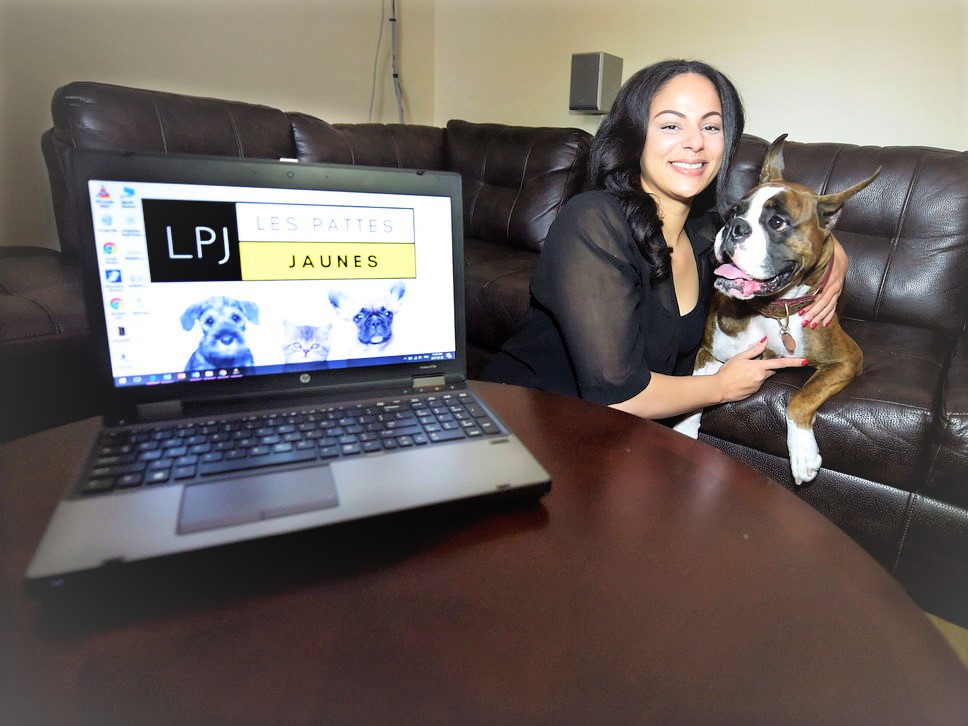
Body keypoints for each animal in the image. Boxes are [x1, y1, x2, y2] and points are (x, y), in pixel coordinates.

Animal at [676, 135, 880, 490]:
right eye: (733, 212)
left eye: (777, 222)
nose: (734, 227)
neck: (774, 310)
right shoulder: (708, 352)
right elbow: (698, 387)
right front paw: (685, 430)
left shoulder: (847, 360)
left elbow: (801, 398)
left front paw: (802, 454)